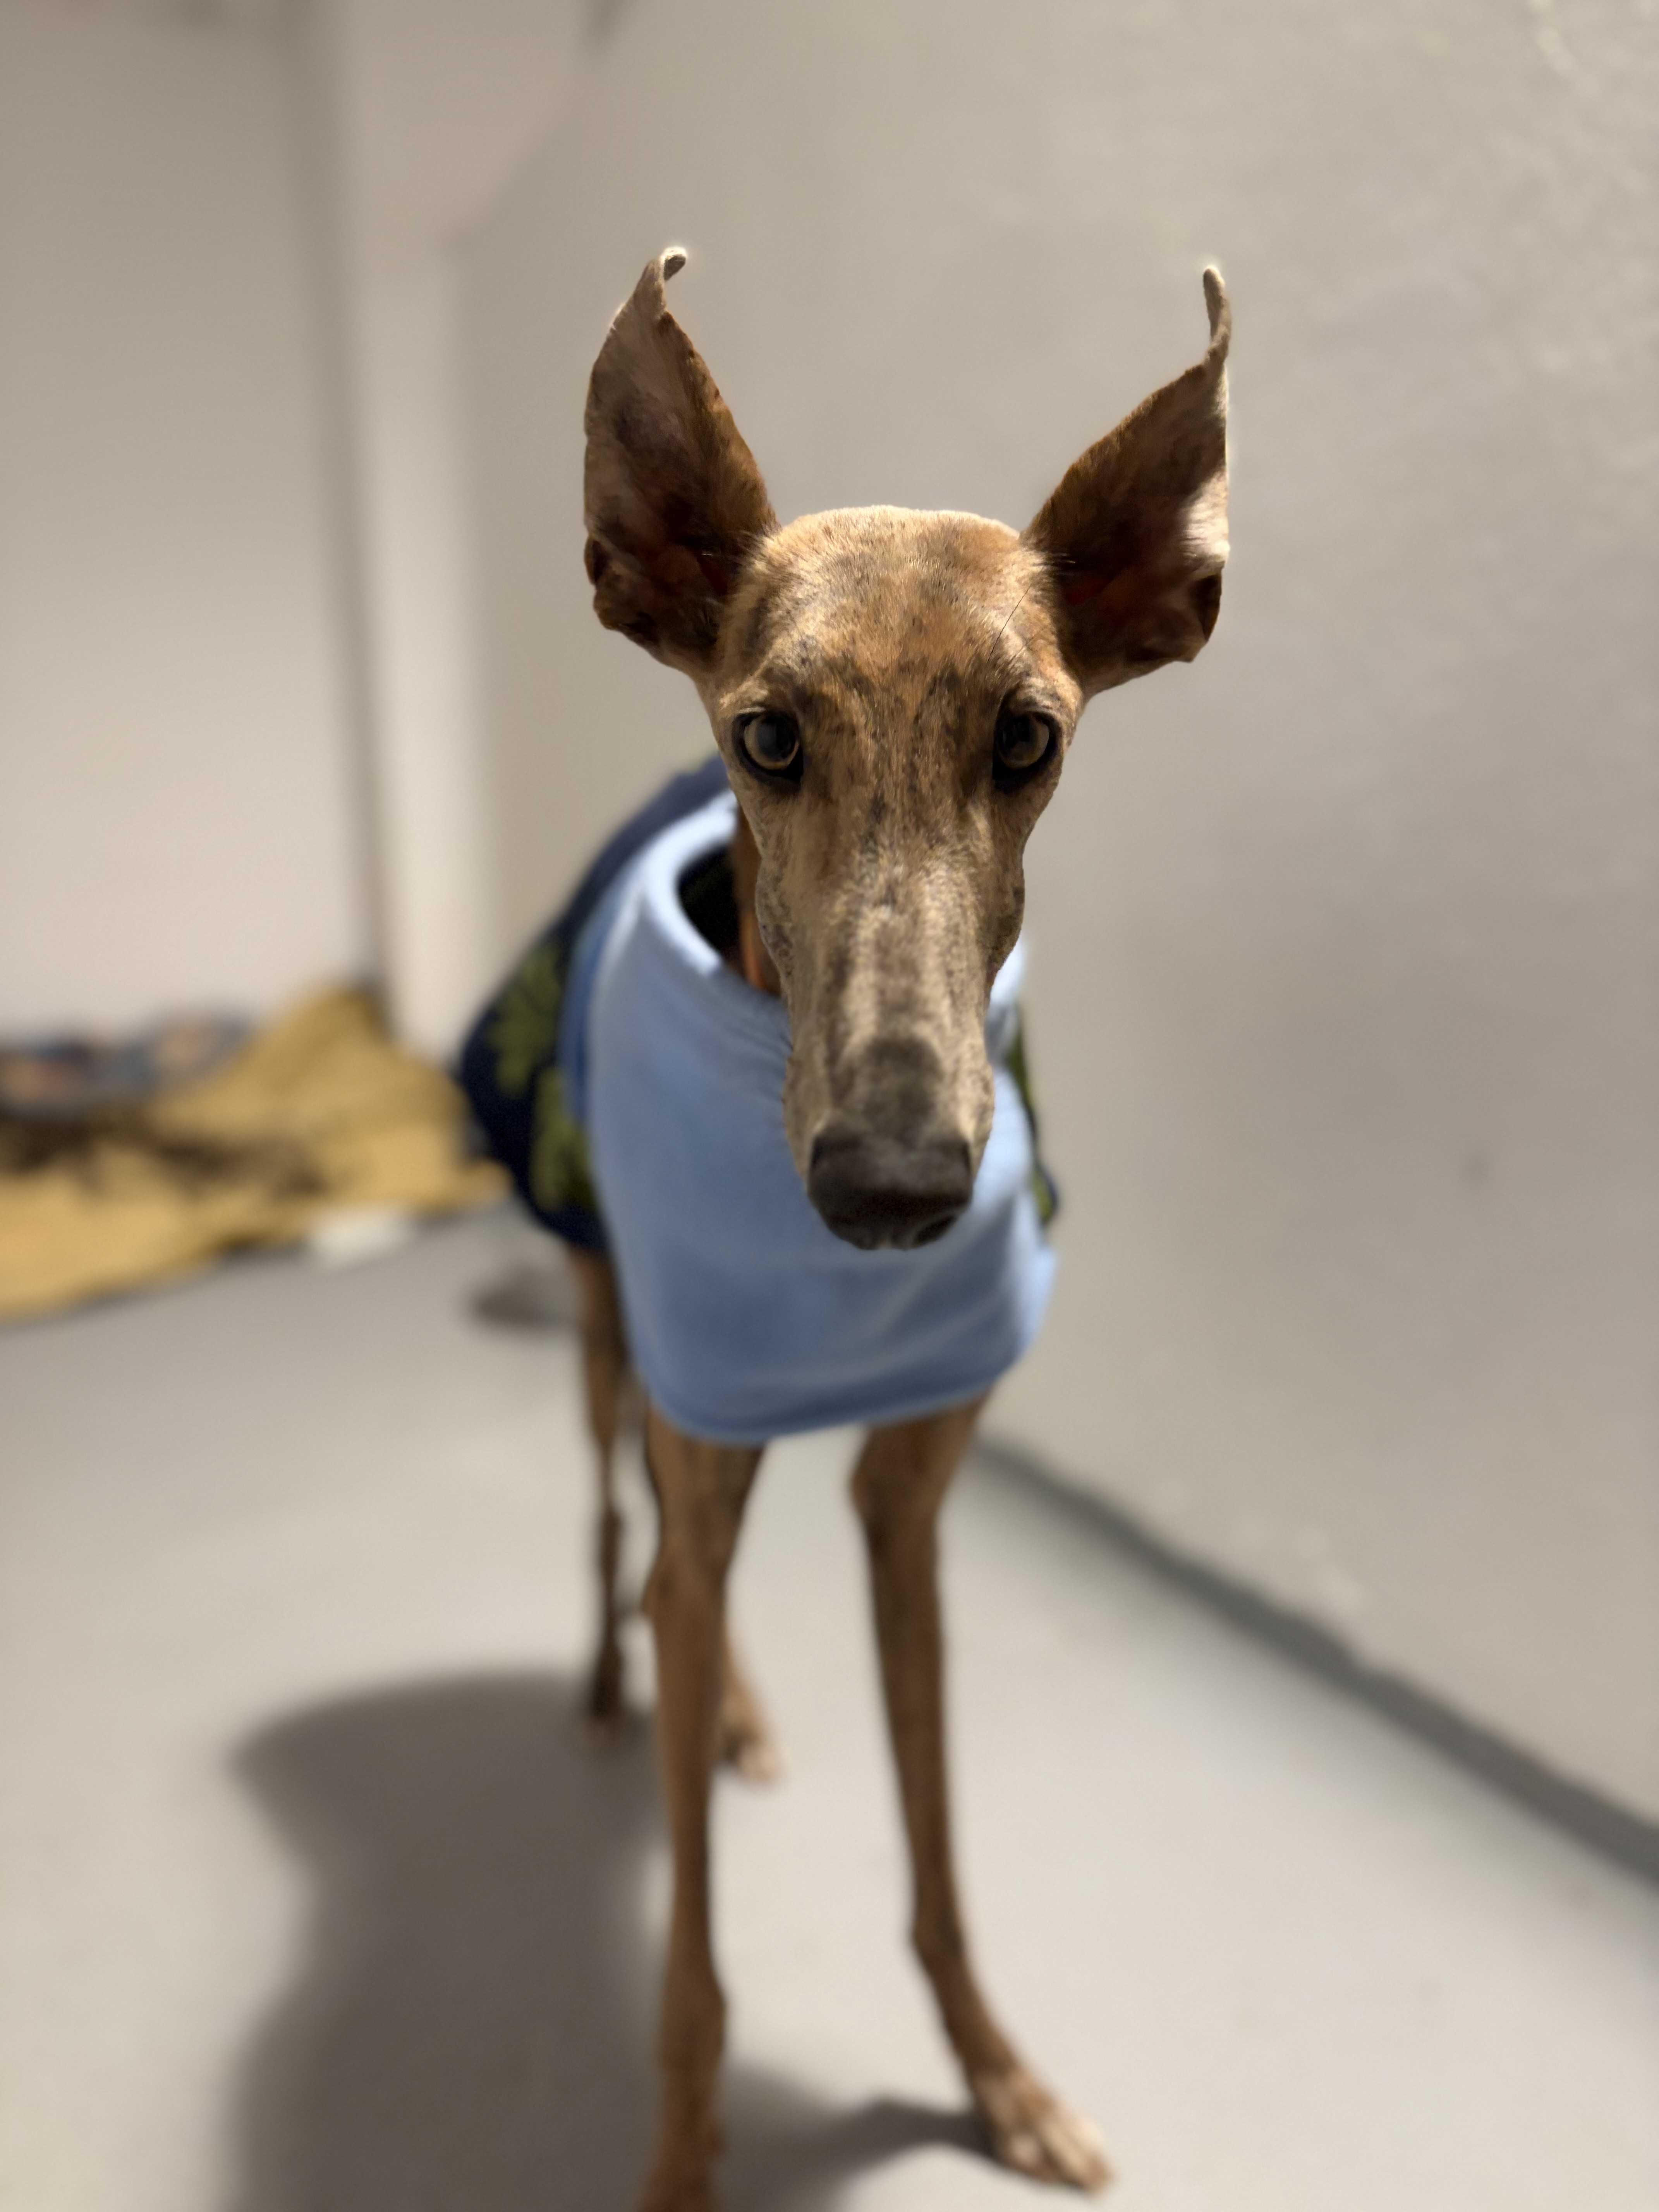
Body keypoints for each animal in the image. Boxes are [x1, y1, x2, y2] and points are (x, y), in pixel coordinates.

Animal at [461, 247, 1229, 2208]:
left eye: (1030, 738)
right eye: (768, 735)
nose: (890, 1190)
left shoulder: (913, 1507)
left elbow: (938, 1859)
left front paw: (996, 2077)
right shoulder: (693, 1388)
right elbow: (690, 1964)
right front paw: (679, 2156)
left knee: (685, 1566)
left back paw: (716, 1699)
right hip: (611, 1335)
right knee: (628, 1527)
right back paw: (621, 1683)